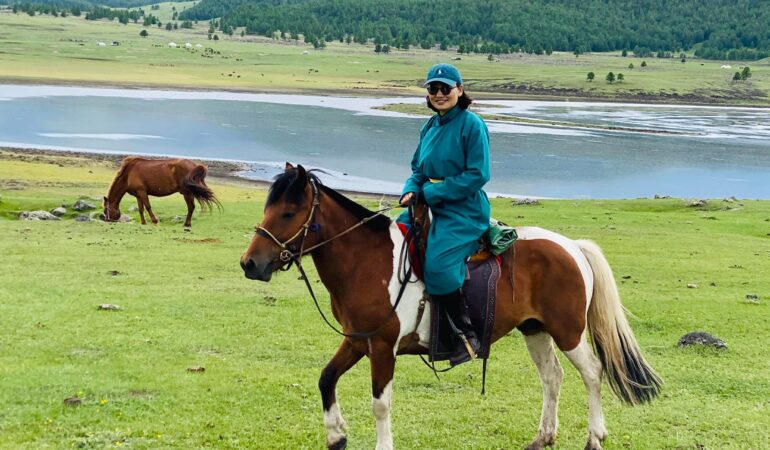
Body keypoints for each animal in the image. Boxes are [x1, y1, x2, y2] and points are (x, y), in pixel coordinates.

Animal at [240, 164, 660, 450]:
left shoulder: (383, 347)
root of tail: (571, 246)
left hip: (567, 331)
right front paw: (336, 436)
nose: (250, 264)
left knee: (592, 373)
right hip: (535, 329)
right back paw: (542, 437)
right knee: (552, 378)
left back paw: (595, 437)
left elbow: (380, 403)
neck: (367, 261)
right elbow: (326, 379)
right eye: (268, 210)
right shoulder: (358, 341)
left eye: (288, 213)